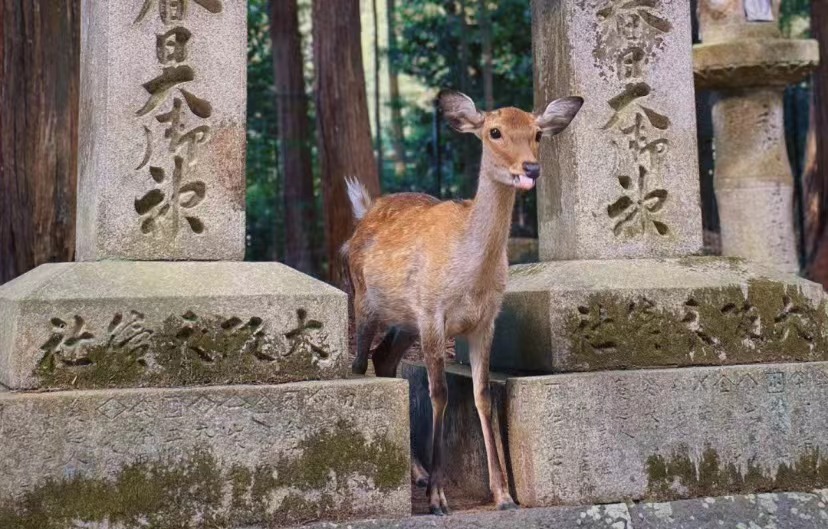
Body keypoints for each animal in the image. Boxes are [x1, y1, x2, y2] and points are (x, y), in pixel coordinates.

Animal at [342, 89, 583, 515]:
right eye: (494, 132)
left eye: (537, 133)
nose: (531, 168)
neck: (471, 278)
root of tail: (364, 210)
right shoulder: (432, 313)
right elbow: (439, 393)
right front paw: (439, 499)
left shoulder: (484, 321)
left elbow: (482, 395)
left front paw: (503, 495)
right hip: (365, 300)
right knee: (360, 362)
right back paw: (421, 476)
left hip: (405, 323)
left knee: (384, 359)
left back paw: (418, 472)